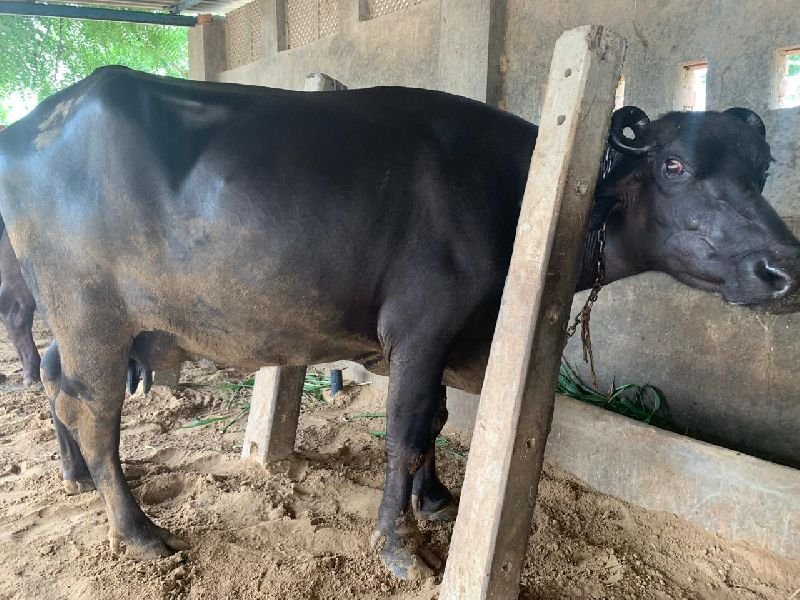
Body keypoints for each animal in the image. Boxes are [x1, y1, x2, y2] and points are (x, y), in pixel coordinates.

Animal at [0, 66, 797, 580]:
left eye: (762, 167)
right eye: (673, 165)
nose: (783, 267)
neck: (506, 188)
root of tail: (38, 119)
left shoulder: (445, 338)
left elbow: (437, 418)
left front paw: (437, 498)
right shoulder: (420, 327)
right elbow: (407, 429)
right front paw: (401, 544)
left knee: (56, 384)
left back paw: (76, 478)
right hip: (91, 318)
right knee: (91, 408)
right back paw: (137, 530)